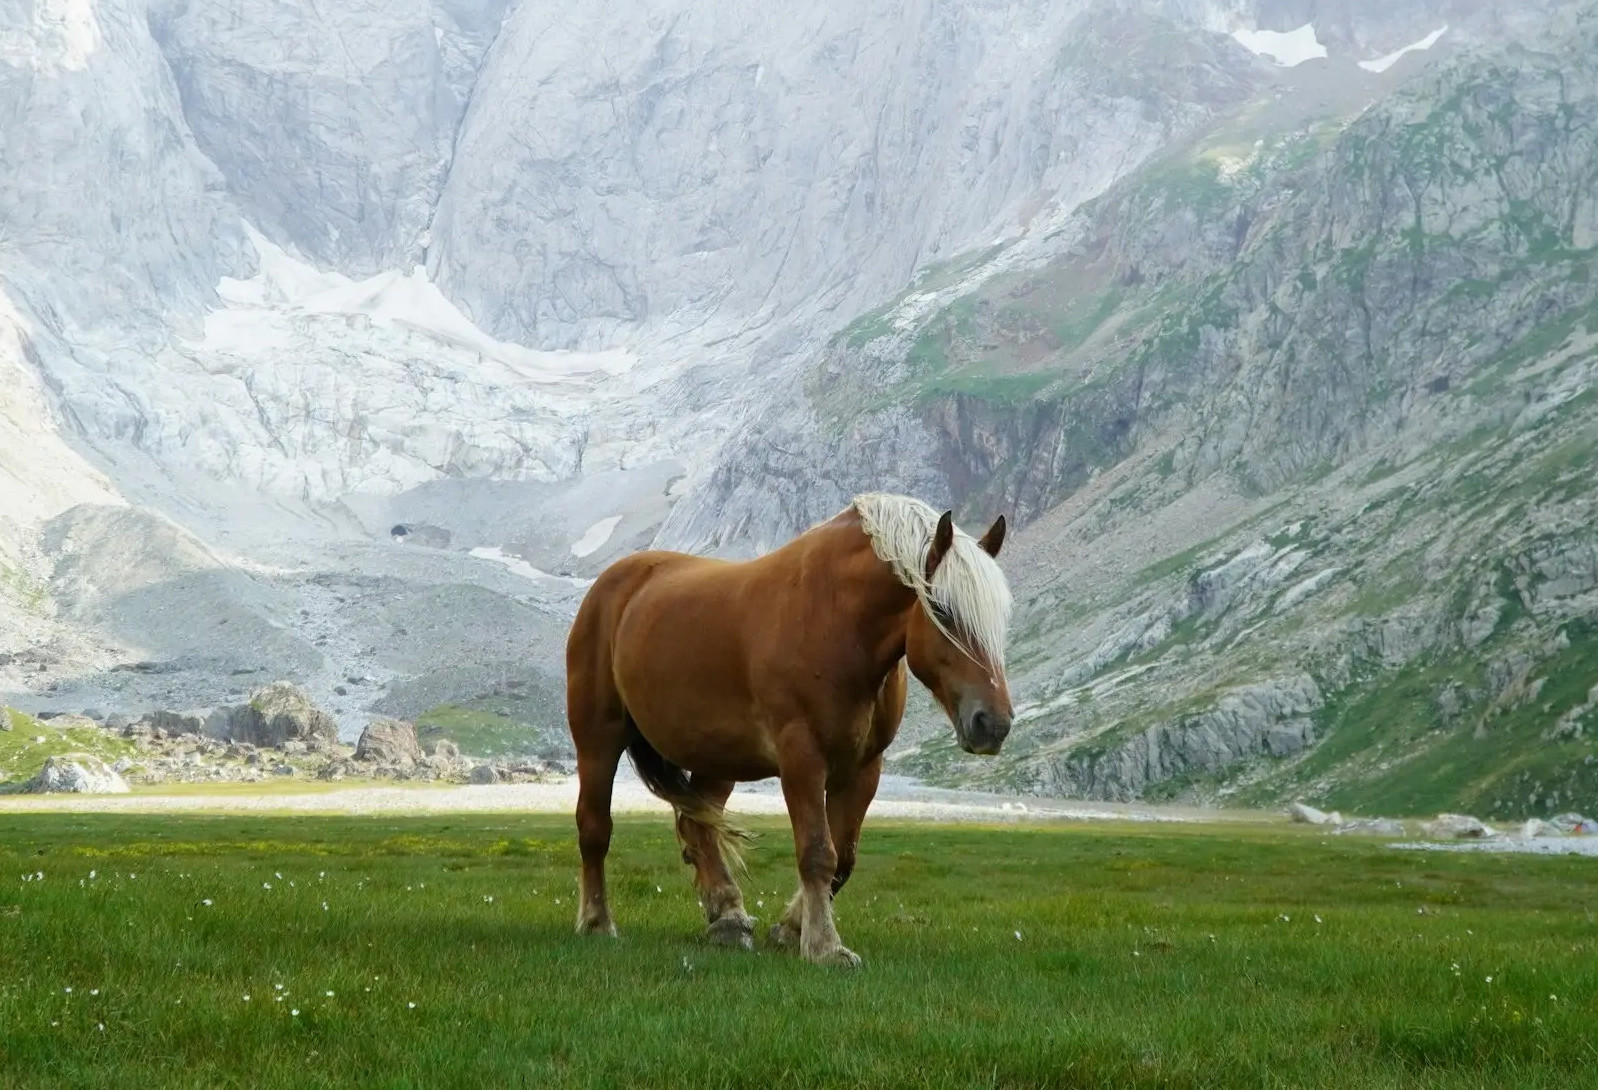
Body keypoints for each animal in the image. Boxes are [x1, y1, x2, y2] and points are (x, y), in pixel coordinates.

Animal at [564, 492, 1014, 967]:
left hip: (719, 759)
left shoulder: (864, 768)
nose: (994, 724)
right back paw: (597, 922)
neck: (837, 620)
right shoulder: (802, 757)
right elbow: (817, 852)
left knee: (697, 826)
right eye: (943, 610)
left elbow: (843, 858)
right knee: (595, 827)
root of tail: (612, 584)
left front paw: (790, 929)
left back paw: (728, 917)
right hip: (597, 741)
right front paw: (825, 946)